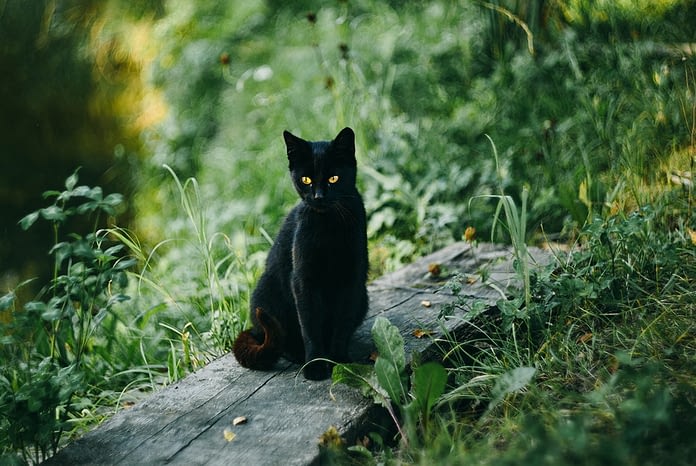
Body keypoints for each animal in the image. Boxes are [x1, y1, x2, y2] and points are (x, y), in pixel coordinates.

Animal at [234, 126, 370, 378]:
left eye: (333, 178)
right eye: (306, 180)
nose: (318, 196)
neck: (329, 227)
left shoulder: (352, 280)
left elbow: (342, 324)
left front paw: (340, 361)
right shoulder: (303, 281)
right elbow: (310, 326)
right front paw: (315, 365)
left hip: (363, 298)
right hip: (266, 295)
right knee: (281, 339)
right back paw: (298, 355)